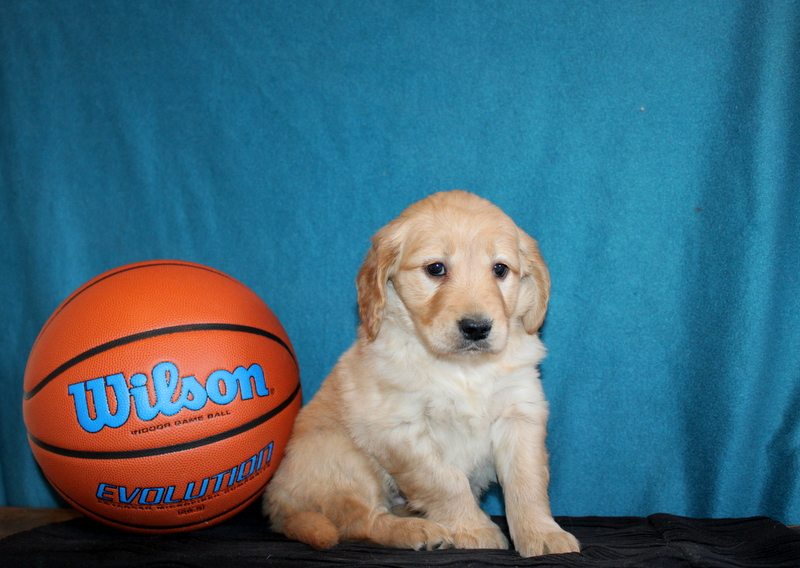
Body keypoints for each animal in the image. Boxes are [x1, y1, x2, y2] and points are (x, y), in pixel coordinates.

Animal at [266, 193, 580, 556]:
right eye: (436, 268)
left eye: (500, 269)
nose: (477, 328)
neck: (463, 369)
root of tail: (275, 504)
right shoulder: (399, 428)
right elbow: (444, 481)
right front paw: (474, 529)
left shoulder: (520, 413)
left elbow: (527, 483)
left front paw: (542, 533)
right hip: (341, 455)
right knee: (362, 522)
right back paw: (419, 530)